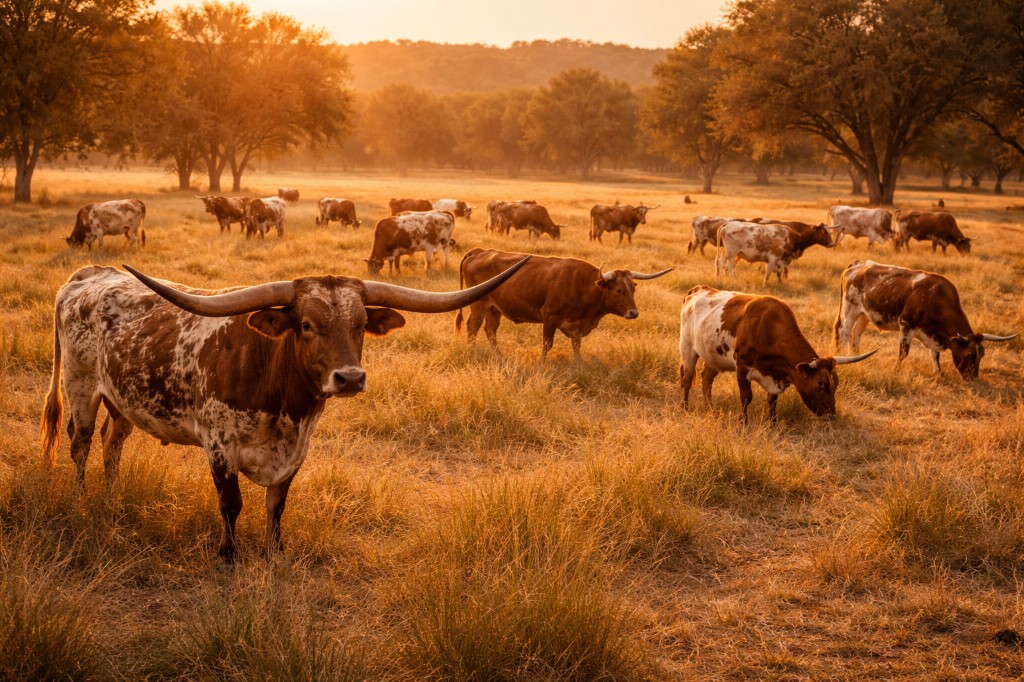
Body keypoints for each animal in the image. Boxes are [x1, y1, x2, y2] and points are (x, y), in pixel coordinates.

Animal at [40, 259, 529, 562]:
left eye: (360, 325)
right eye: (307, 325)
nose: (350, 378)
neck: (283, 403)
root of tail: (88, 274)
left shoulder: (296, 452)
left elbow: (277, 506)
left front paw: (275, 554)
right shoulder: (219, 446)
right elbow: (231, 503)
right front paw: (229, 555)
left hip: (123, 400)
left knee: (112, 443)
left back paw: (111, 495)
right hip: (80, 387)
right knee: (81, 444)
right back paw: (83, 501)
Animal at [455, 248, 671, 360]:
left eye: (633, 288)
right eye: (618, 290)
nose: (633, 313)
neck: (584, 285)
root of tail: (480, 251)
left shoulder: (576, 327)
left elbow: (577, 345)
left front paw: (578, 363)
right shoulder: (550, 317)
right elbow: (547, 344)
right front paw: (542, 364)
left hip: (494, 308)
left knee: (490, 330)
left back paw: (499, 355)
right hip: (479, 304)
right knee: (472, 327)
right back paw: (472, 350)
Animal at [679, 285, 876, 423]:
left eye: (836, 383)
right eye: (820, 383)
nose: (831, 416)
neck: (768, 327)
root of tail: (698, 289)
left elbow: (772, 400)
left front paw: (772, 422)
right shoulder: (742, 367)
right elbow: (746, 397)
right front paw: (744, 422)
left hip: (713, 356)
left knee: (706, 378)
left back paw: (709, 407)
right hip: (687, 347)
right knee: (688, 378)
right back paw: (685, 407)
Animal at [833, 260, 1016, 379]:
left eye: (982, 355)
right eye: (970, 354)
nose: (973, 378)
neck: (935, 296)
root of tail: (858, 264)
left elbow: (935, 354)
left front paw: (939, 373)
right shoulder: (906, 325)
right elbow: (903, 352)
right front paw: (897, 370)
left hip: (864, 314)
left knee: (855, 335)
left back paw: (856, 356)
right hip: (850, 309)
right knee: (844, 333)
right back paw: (841, 354)